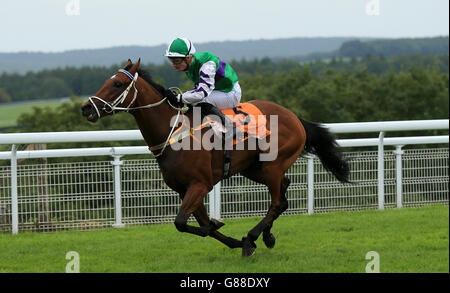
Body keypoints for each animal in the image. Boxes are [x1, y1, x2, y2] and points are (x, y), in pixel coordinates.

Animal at [81, 58, 350, 254]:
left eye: (117, 84)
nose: (86, 108)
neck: (173, 133)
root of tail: (294, 117)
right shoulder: (184, 189)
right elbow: (200, 225)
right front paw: (232, 238)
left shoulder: (200, 184)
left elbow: (184, 223)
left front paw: (234, 235)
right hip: (254, 168)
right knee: (283, 195)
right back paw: (266, 236)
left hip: (272, 165)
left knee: (276, 201)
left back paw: (252, 236)